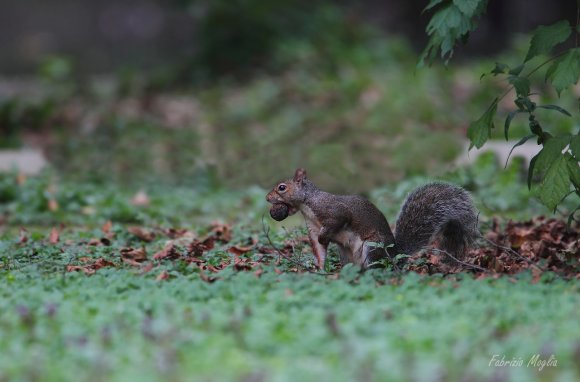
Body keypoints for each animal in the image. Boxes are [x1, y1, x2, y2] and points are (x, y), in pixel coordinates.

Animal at [266, 167, 478, 268]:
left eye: (282, 188)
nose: (267, 198)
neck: (307, 204)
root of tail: (394, 255)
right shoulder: (312, 227)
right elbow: (319, 251)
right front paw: (319, 268)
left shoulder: (333, 211)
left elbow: (337, 221)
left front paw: (325, 237)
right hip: (346, 253)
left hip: (372, 247)